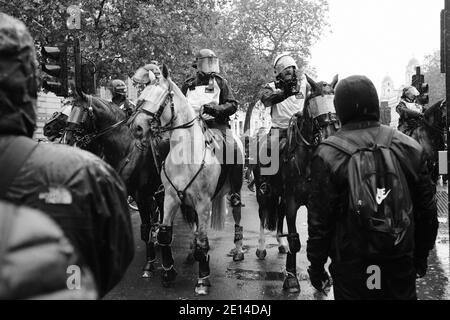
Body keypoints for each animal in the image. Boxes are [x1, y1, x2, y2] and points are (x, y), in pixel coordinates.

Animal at [128, 64, 244, 296]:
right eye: (142, 97)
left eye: (162, 97)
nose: (137, 128)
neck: (186, 153)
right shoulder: (170, 198)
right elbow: (164, 235)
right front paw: (167, 273)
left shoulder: (203, 203)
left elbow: (203, 240)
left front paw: (203, 280)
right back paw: (191, 254)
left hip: (233, 192)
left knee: (236, 215)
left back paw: (237, 250)